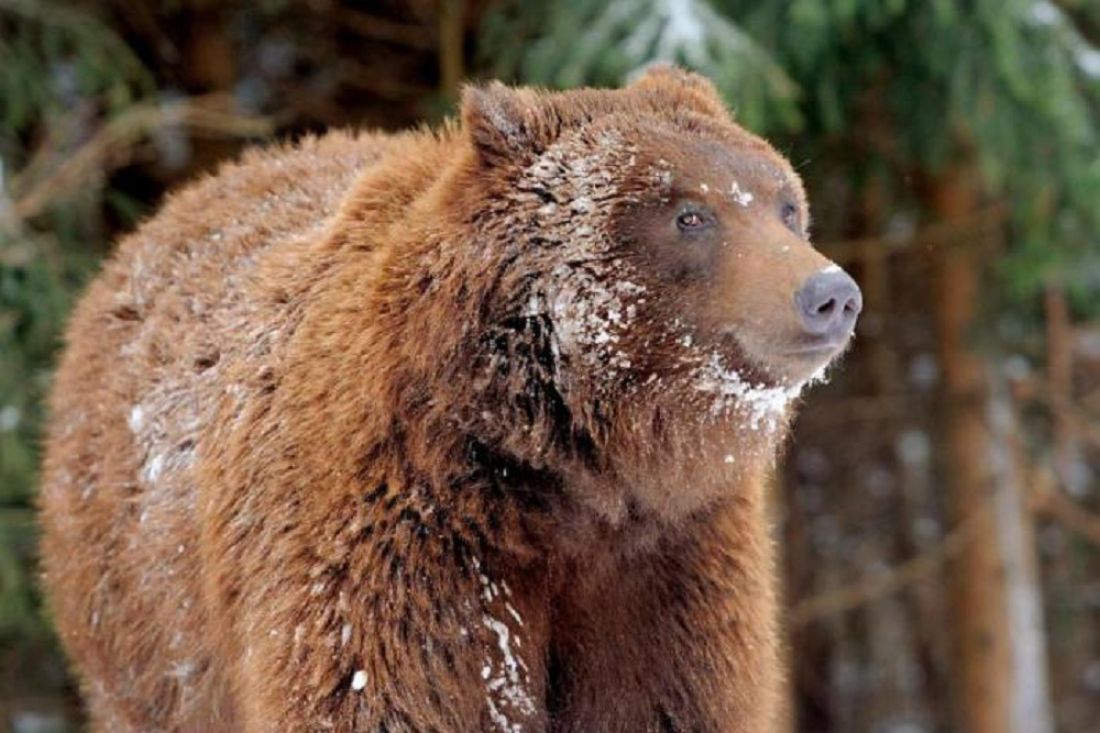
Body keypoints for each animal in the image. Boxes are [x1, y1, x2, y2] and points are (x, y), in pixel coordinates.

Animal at [36, 65, 858, 726]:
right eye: (690, 213)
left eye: (785, 204)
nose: (829, 293)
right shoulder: (406, 544)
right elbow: (389, 695)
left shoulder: (668, 561)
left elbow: (665, 700)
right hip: (141, 615)